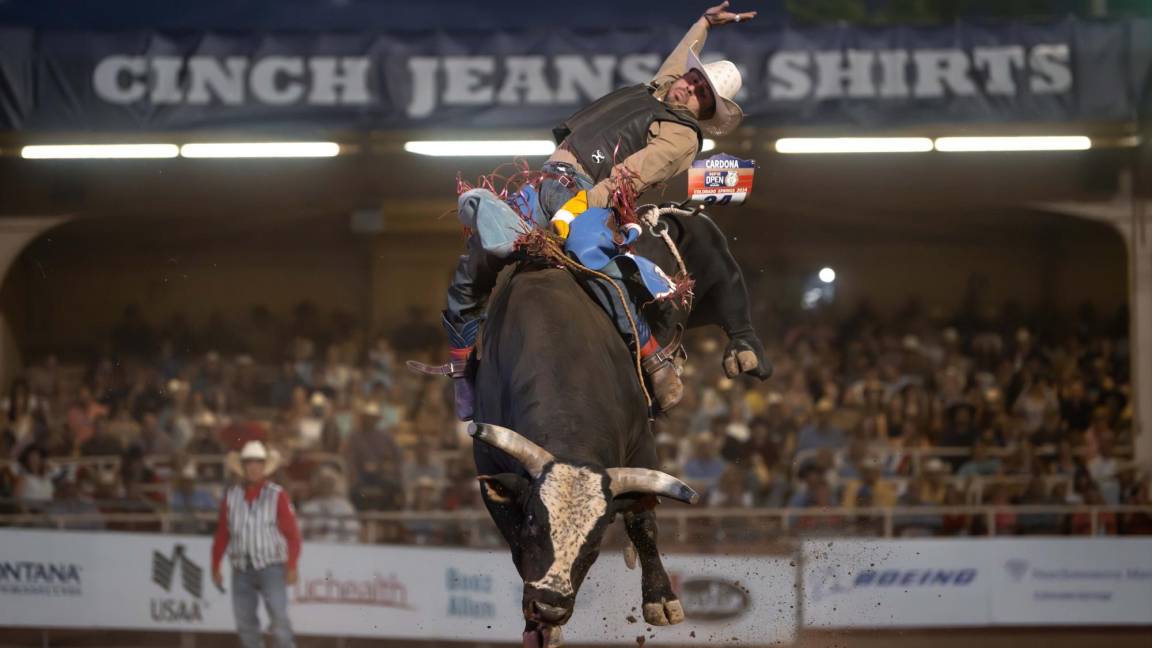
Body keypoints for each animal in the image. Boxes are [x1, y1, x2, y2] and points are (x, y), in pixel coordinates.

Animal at [463, 204, 769, 641]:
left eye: (594, 543)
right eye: (535, 524)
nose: (551, 607)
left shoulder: (642, 443)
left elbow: (642, 521)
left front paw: (661, 599)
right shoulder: (489, 465)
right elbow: (513, 540)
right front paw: (538, 629)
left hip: (713, 266)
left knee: (732, 294)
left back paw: (745, 351)